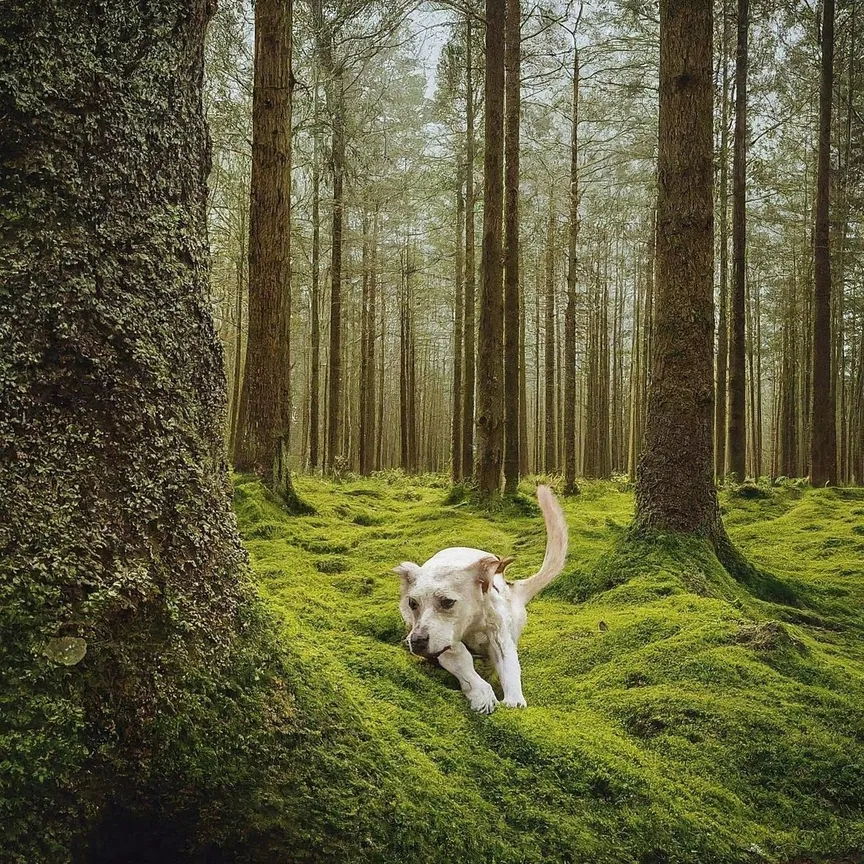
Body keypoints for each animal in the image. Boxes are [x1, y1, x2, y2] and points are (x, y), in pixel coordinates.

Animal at [396, 486, 572, 716]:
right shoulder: (447, 646)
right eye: (413, 603)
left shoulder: (501, 638)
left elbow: (510, 668)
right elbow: (464, 661)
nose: (415, 641)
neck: (472, 624)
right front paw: (483, 695)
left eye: (447, 602)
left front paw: (514, 701)